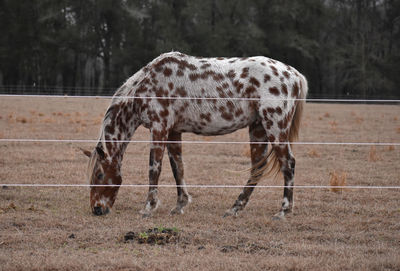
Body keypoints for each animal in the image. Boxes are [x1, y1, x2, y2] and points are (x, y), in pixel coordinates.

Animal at [80, 51, 306, 221]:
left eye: (99, 174)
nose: (97, 209)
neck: (148, 83)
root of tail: (294, 75)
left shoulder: (159, 128)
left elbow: (154, 169)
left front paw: (148, 208)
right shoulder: (173, 131)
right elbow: (177, 168)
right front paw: (180, 205)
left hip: (275, 128)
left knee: (289, 164)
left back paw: (283, 211)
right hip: (258, 129)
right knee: (257, 168)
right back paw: (234, 208)